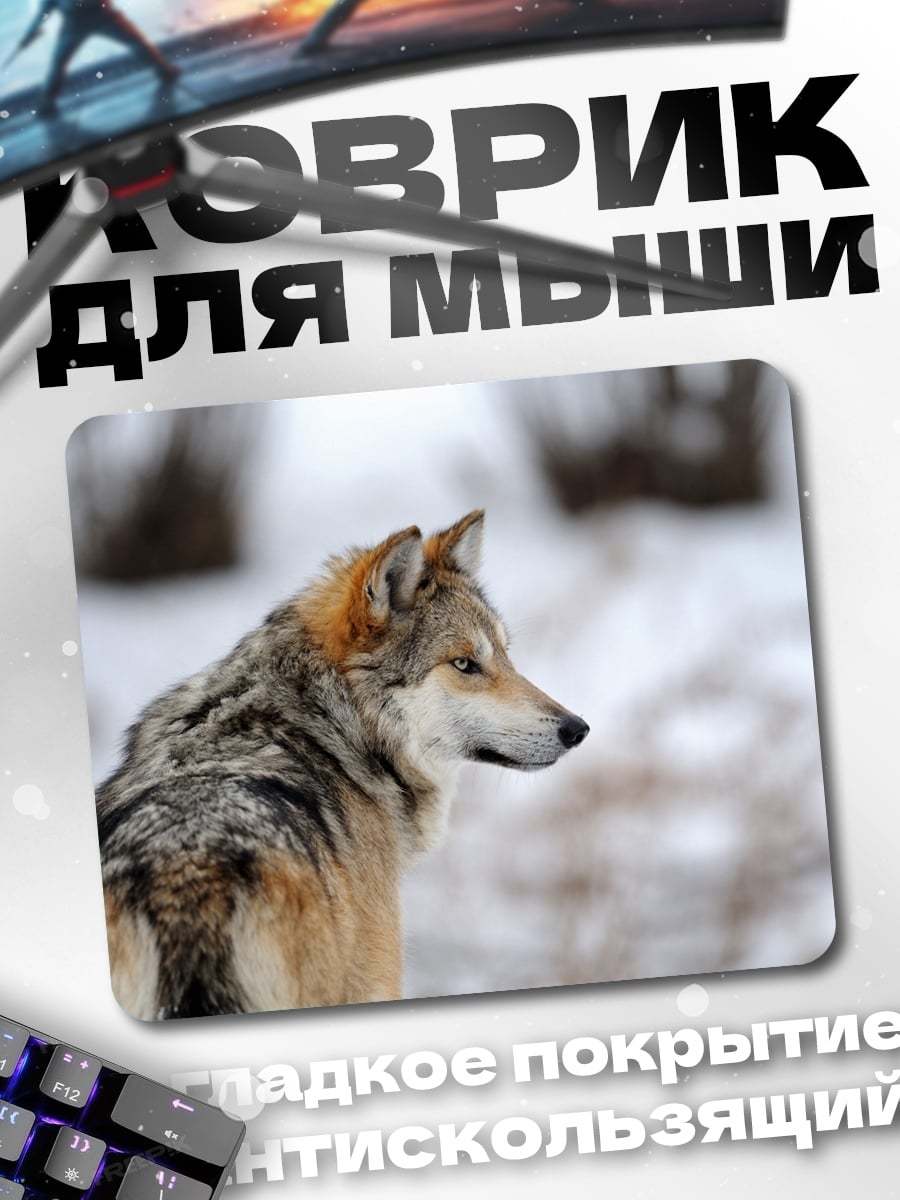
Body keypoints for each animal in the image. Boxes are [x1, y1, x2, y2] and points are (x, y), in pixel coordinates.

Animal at [97, 511, 589, 1018]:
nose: (577, 729)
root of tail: (185, 882)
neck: (334, 726)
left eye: (506, 655)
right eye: (464, 664)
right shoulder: (378, 979)